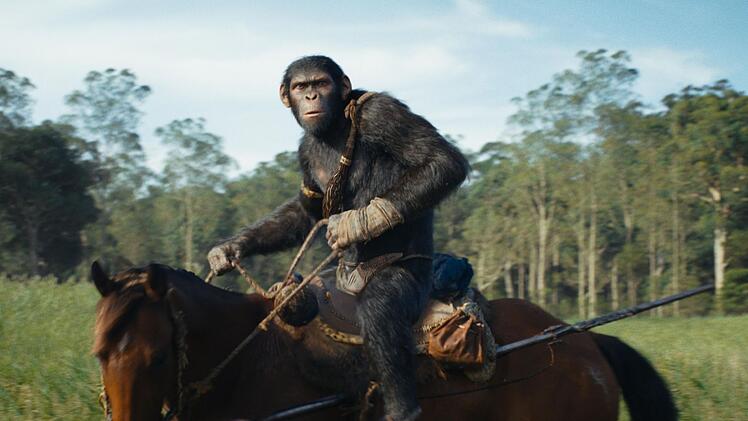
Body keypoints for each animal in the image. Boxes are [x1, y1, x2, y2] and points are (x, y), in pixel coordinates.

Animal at [208, 56, 469, 420]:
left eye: (321, 82)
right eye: (300, 86)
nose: (312, 97)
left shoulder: (380, 112)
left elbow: (443, 161)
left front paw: (357, 223)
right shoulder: (304, 154)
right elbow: (306, 211)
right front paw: (229, 251)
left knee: (379, 310)